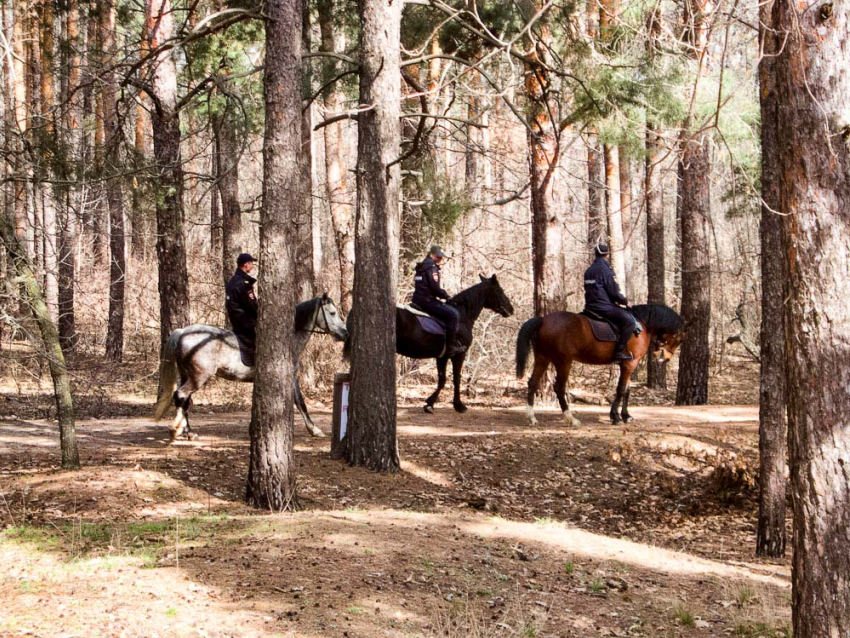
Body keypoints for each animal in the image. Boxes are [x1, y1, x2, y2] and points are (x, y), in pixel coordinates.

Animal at [154, 296, 346, 442]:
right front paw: (314, 430)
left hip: (186, 375)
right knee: (181, 395)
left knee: (184, 400)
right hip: (198, 377)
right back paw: (178, 430)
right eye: (332, 313)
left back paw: (188, 431)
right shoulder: (291, 377)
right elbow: (300, 402)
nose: (345, 333)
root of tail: (183, 331)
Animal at [342, 276, 512, 416]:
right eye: (500, 291)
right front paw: (458, 405)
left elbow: (442, 380)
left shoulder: (442, 357)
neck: (462, 315)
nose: (511, 309)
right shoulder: (458, 354)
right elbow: (456, 379)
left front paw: (430, 404)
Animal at [512, 308, 684, 428]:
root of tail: (543, 320)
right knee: (559, 388)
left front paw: (626, 416)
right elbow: (621, 389)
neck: (641, 326)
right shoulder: (630, 364)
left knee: (533, 383)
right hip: (563, 362)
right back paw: (571, 419)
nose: (665, 359)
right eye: (679, 338)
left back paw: (531, 417)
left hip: (543, 358)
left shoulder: (627, 365)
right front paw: (616, 417)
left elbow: (627, 391)